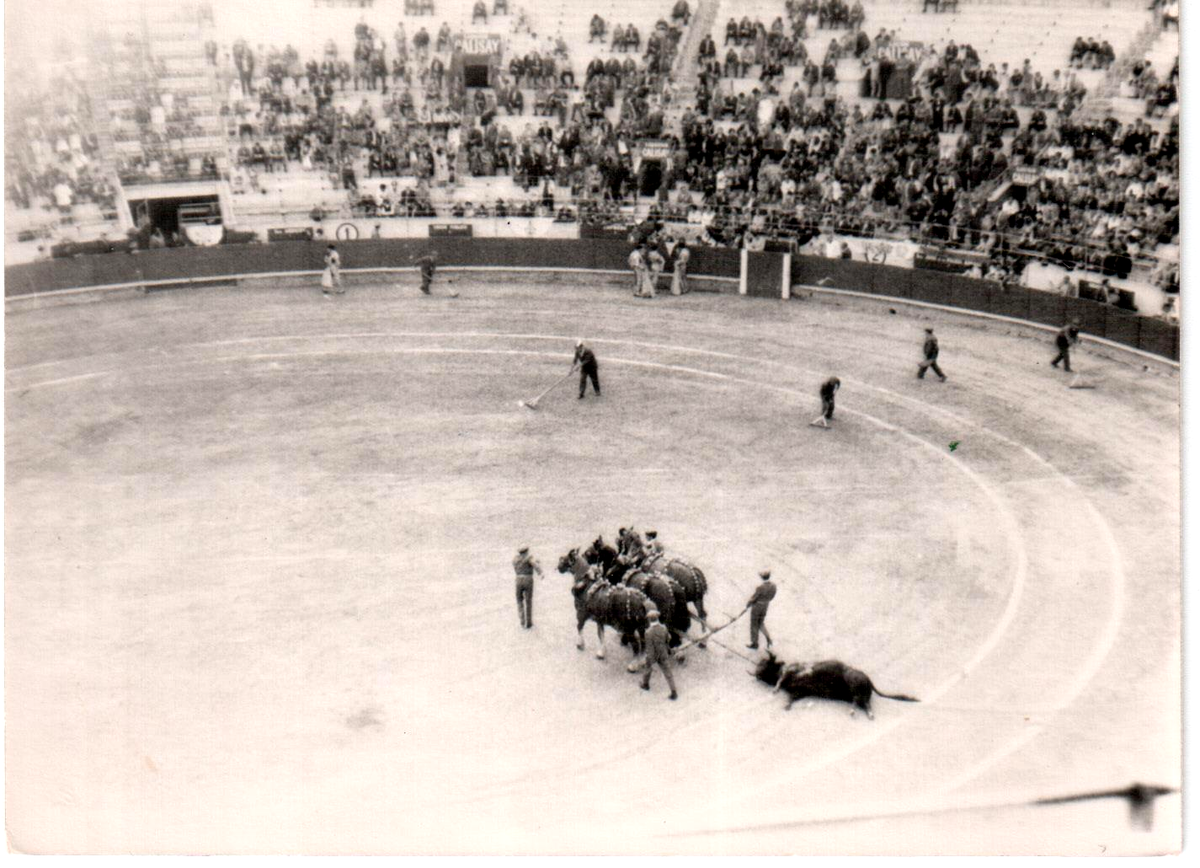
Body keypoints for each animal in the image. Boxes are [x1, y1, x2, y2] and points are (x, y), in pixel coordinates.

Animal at [753, 653, 921, 720]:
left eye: (765, 663)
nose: (755, 673)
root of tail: (868, 679)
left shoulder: (793, 672)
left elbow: (782, 680)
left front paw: (775, 689)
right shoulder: (799, 691)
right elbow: (791, 697)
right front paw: (787, 705)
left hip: (854, 686)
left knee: (858, 700)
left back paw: (853, 712)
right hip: (860, 694)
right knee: (865, 704)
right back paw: (868, 714)